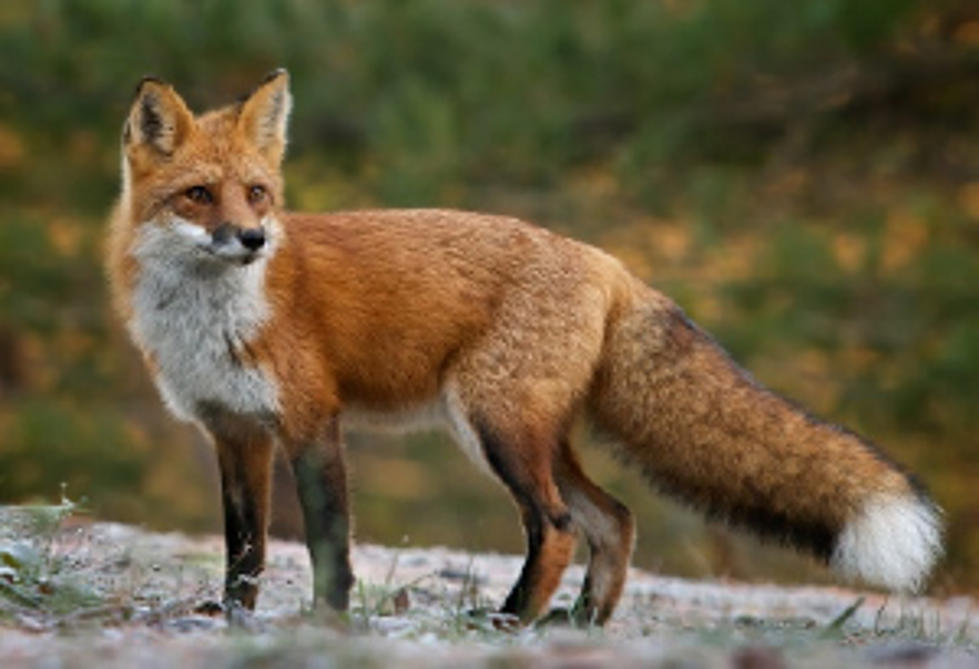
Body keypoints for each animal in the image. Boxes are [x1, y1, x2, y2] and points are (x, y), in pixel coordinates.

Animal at [107, 70, 940, 624]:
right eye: (197, 195)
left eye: (257, 193)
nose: (253, 239)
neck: (209, 319)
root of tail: (610, 263)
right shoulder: (233, 431)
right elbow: (243, 547)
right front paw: (231, 617)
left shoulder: (312, 420)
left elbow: (328, 543)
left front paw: (326, 621)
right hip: (527, 433)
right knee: (615, 518)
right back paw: (579, 623)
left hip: (496, 427)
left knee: (561, 525)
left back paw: (510, 619)